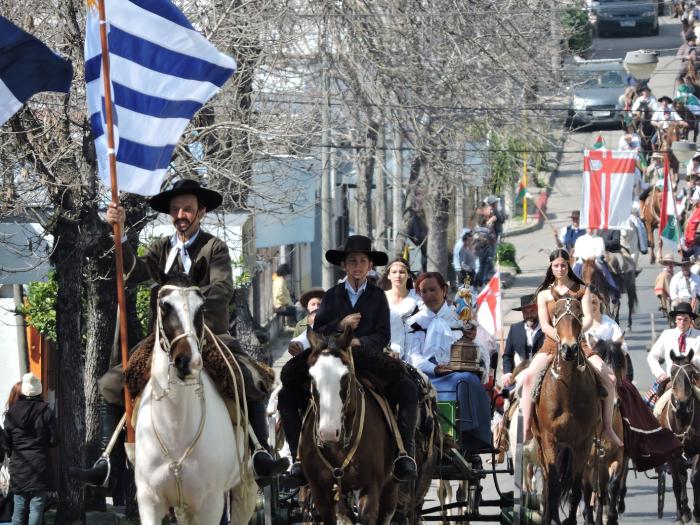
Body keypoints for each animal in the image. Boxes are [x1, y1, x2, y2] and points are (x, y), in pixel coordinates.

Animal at [134, 276, 258, 520]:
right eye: (164, 306)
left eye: (202, 308)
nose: (188, 361)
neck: (175, 426)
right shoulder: (149, 500)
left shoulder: (211, 503)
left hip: (244, 486)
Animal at [300, 326, 400, 520]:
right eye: (311, 377)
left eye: (345, 376)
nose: (328, 432)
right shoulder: (321, 494)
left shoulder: (369, 490)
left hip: (390, 487)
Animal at [532, 290, 600, 524]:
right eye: (556, 313)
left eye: (579, 314)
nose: (569, 348)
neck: (568, 390)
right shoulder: (549, 439)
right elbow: (552, 486)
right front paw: (551, 518)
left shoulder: (583, 443)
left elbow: (576, 488)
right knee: (547, 483)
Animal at [580, 338, 628, 524]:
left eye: (620, 364)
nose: (615, 403)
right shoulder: (586, 466)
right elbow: (587, 492)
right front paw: (588, 517)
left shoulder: (616, 457)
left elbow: (612, 486)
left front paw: (612, 516)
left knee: (602, 492)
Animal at [656, 348, 700, 524]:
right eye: (672, 372)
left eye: (691, 373)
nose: (682, 404)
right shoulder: (671, 455)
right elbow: (677, 483)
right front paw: (681, 515)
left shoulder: (697, 450)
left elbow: (694, 478)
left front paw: (696, 513)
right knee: (681, 478)